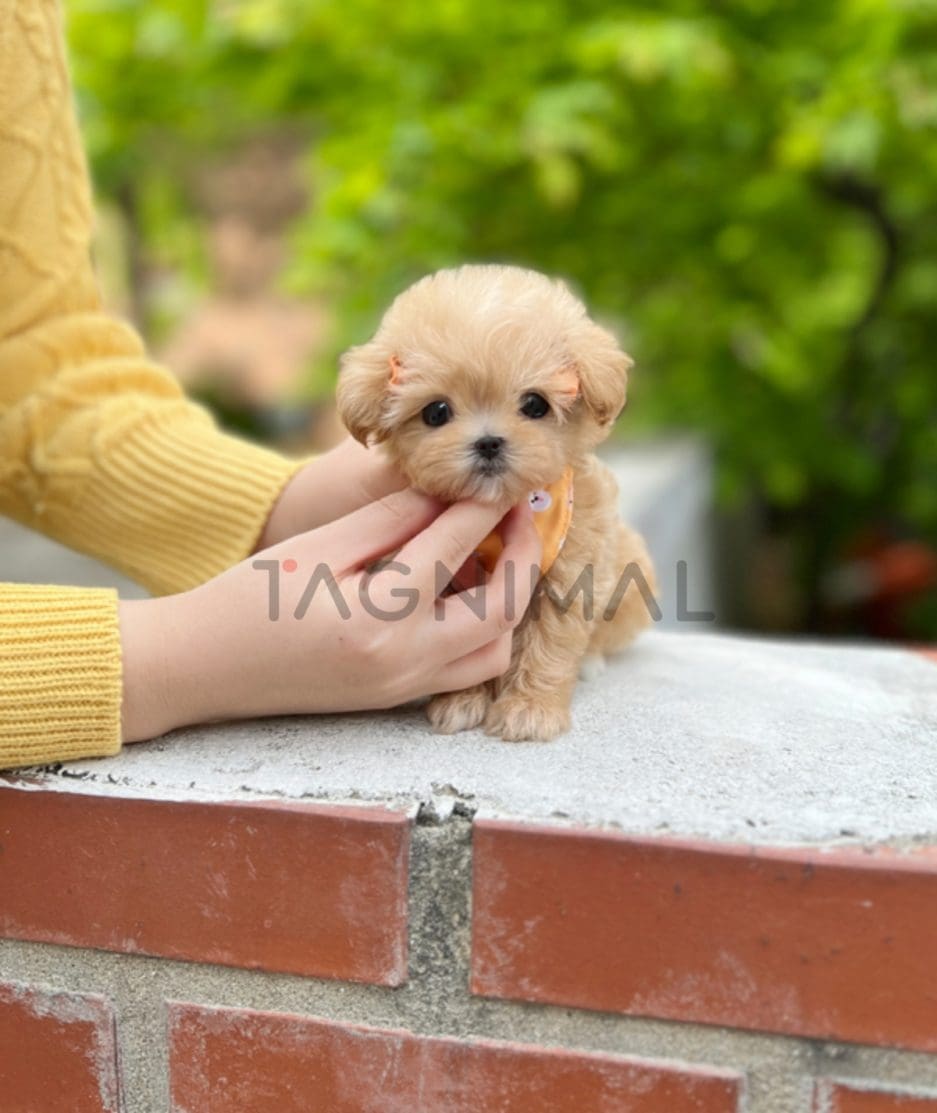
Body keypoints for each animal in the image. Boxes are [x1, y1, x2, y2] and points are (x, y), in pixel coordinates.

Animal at [338, 262, 658, 739]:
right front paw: (461, 699)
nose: (488, 442)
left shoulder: (572, 573)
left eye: (535, 404)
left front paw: (531, 709)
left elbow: (549, 644)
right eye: (436, 412)